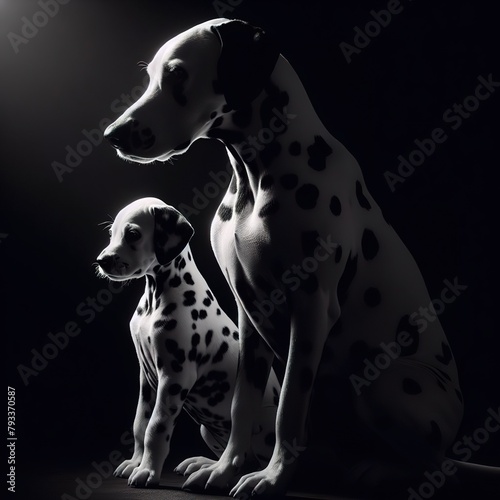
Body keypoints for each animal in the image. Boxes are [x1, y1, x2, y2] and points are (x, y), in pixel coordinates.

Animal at [95, 198, 280, 488]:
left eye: (133, 234)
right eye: (111, 233)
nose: (102, 261)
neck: (156, 296)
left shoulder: (174, 377)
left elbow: (156, 427)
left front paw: (147, 471)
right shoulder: (147, 379)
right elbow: (140, 424)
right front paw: (135, 463)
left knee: (249, 461)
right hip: (206, 430)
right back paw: (204, 464)